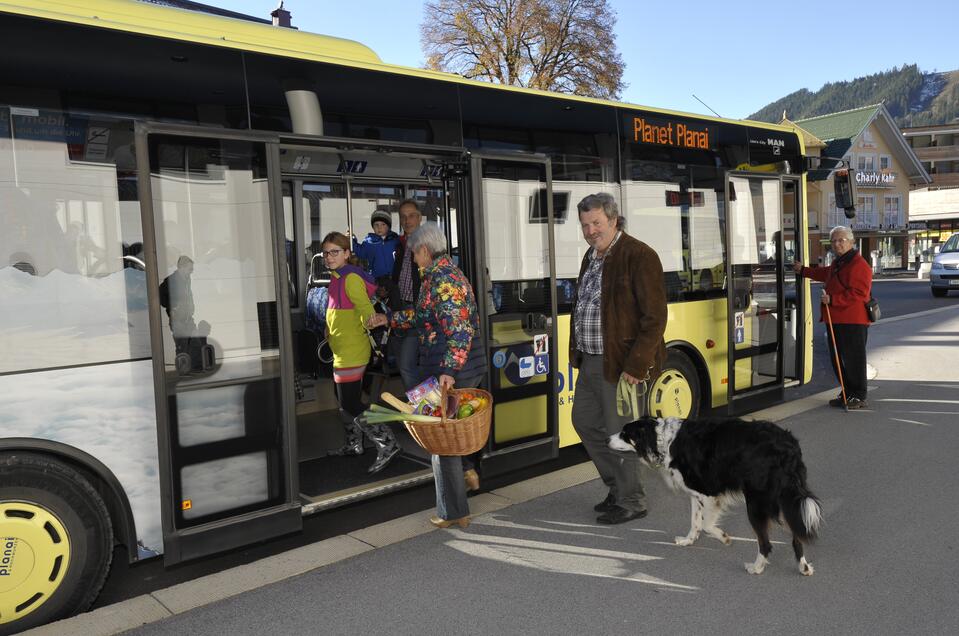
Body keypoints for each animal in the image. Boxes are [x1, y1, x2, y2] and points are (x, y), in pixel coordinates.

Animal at [612, 418, 820, 576]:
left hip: (756, 502)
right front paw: (688, 540)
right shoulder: (696, 494)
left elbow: (705, 524)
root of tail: (789, 448)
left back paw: (756, 567)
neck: (664, 440)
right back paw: (803, 567)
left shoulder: (708, 493)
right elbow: (695, 522)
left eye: (624, 434)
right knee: (797, 535)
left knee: (766, 543)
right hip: (786, 500)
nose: (607, 439)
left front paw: (723, 537)